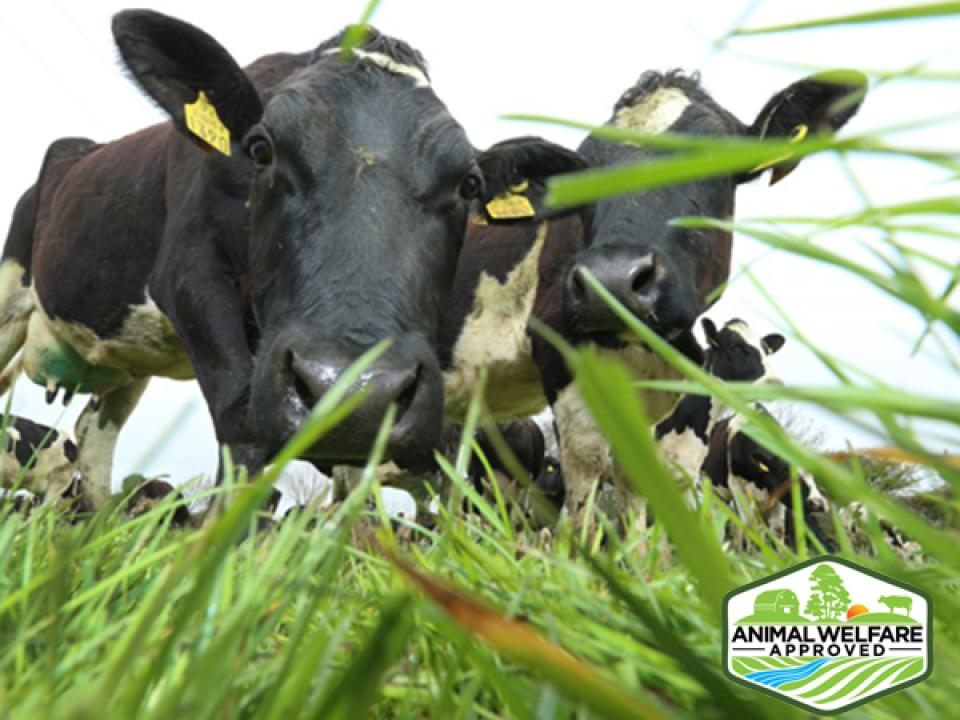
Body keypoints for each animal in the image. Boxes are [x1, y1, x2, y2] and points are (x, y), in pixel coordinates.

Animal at [0, 8, 584, 510]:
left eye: (469, 184)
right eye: (261, 148)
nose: (354, 393)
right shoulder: (190, 275)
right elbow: (243, 428)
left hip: (126, 362)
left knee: (94, 439)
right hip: (12, 295)